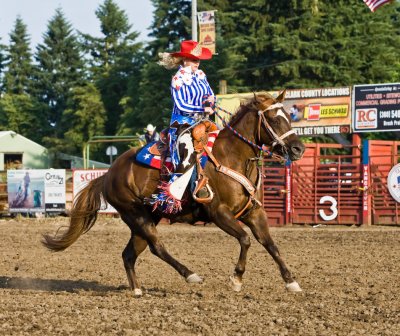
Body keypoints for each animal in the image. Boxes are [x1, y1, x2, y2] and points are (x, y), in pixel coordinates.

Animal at [43, 90, 304, 296]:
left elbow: (270, 244)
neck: (233, 157)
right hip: (136, 215)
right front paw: (237, 279)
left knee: (129, 254)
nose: (298, 148)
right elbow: (245, 239)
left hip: (148, 217)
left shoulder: (253, 213)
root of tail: (107, 175)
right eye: (273, 119)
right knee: (157, 247)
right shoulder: (219, 213)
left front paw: (291, 282)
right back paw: (191, 275)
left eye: (288, 116)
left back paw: (137, 290)